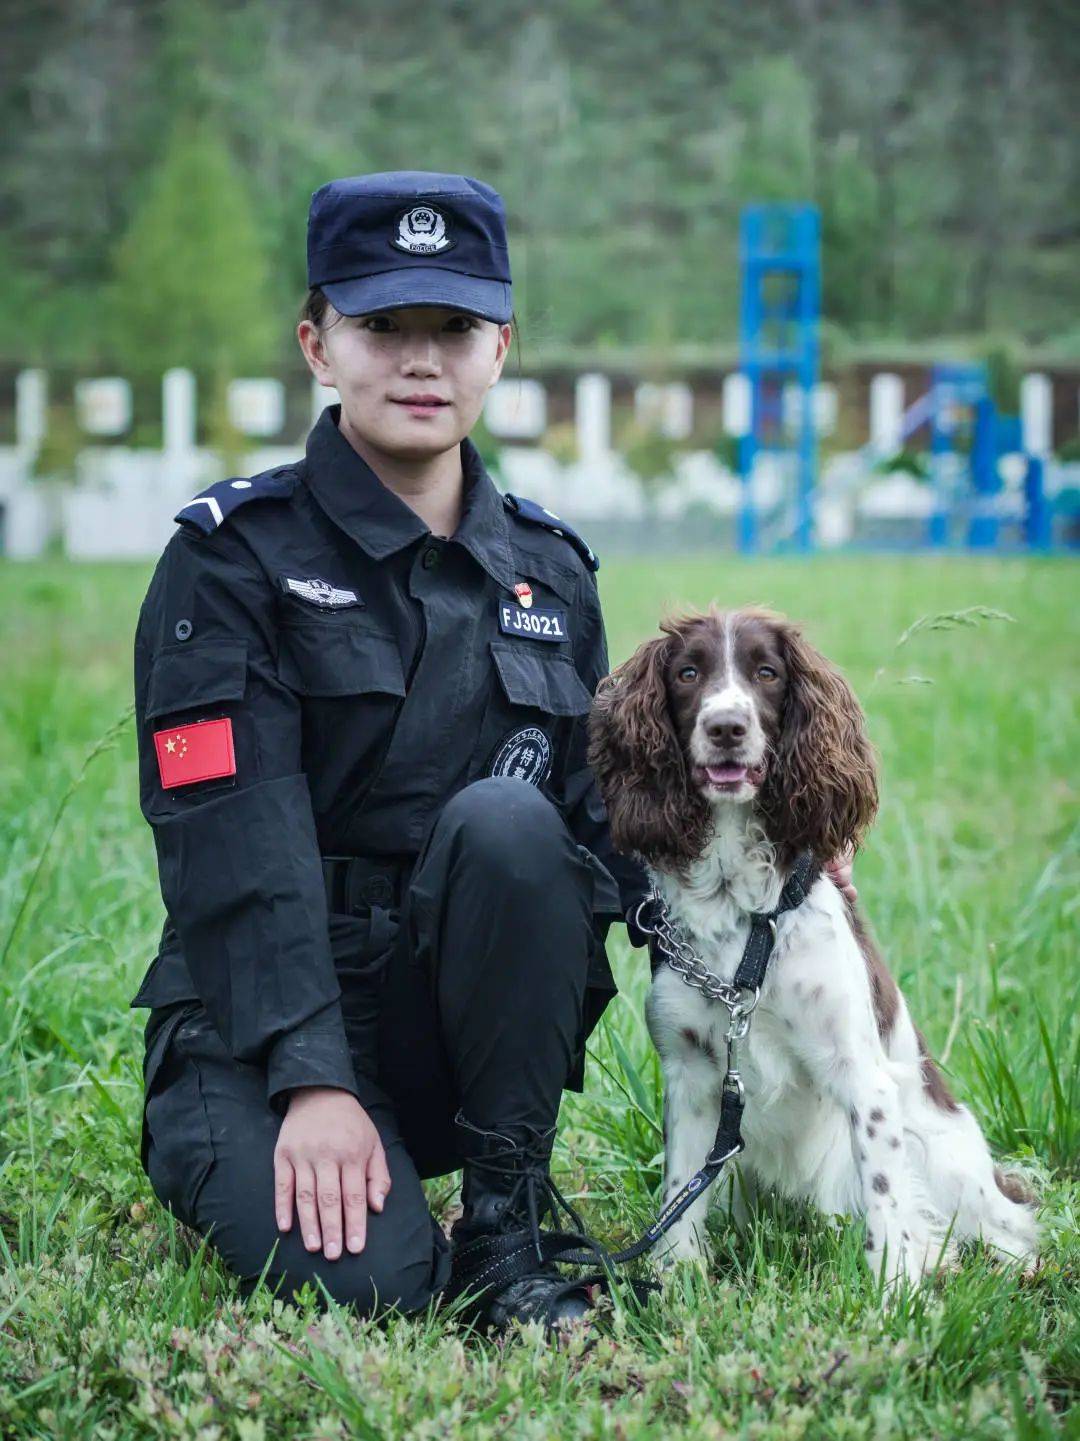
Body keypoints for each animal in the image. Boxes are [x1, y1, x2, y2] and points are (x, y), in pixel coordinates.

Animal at [585, 602, 1038, 1291]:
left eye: (766, 673)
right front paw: (676, 1283)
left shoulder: (860, 1074)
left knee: (1002, 1217)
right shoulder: (691, 1074)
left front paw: (893, 1295)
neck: (743, 918)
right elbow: (678, 1200)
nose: (726, 727)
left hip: (949, 1156)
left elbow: (885, 1198)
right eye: (688, 673)